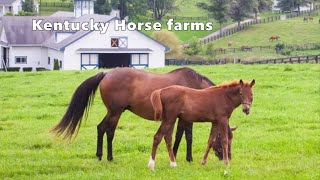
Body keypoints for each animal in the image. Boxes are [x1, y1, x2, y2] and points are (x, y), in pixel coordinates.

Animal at [51, 66, 230, 162]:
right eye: (227, 139)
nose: (227, 157)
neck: (195, 87)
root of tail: (106, 74)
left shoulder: (180, 118)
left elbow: (179, 136)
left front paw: (176, 155)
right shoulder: (188, 118)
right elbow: (188, 137)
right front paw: (188, 158)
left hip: (111, 112)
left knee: (100, 128)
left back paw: (100, 155)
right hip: (116, 112)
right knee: (109, 131)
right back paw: (110, 157)